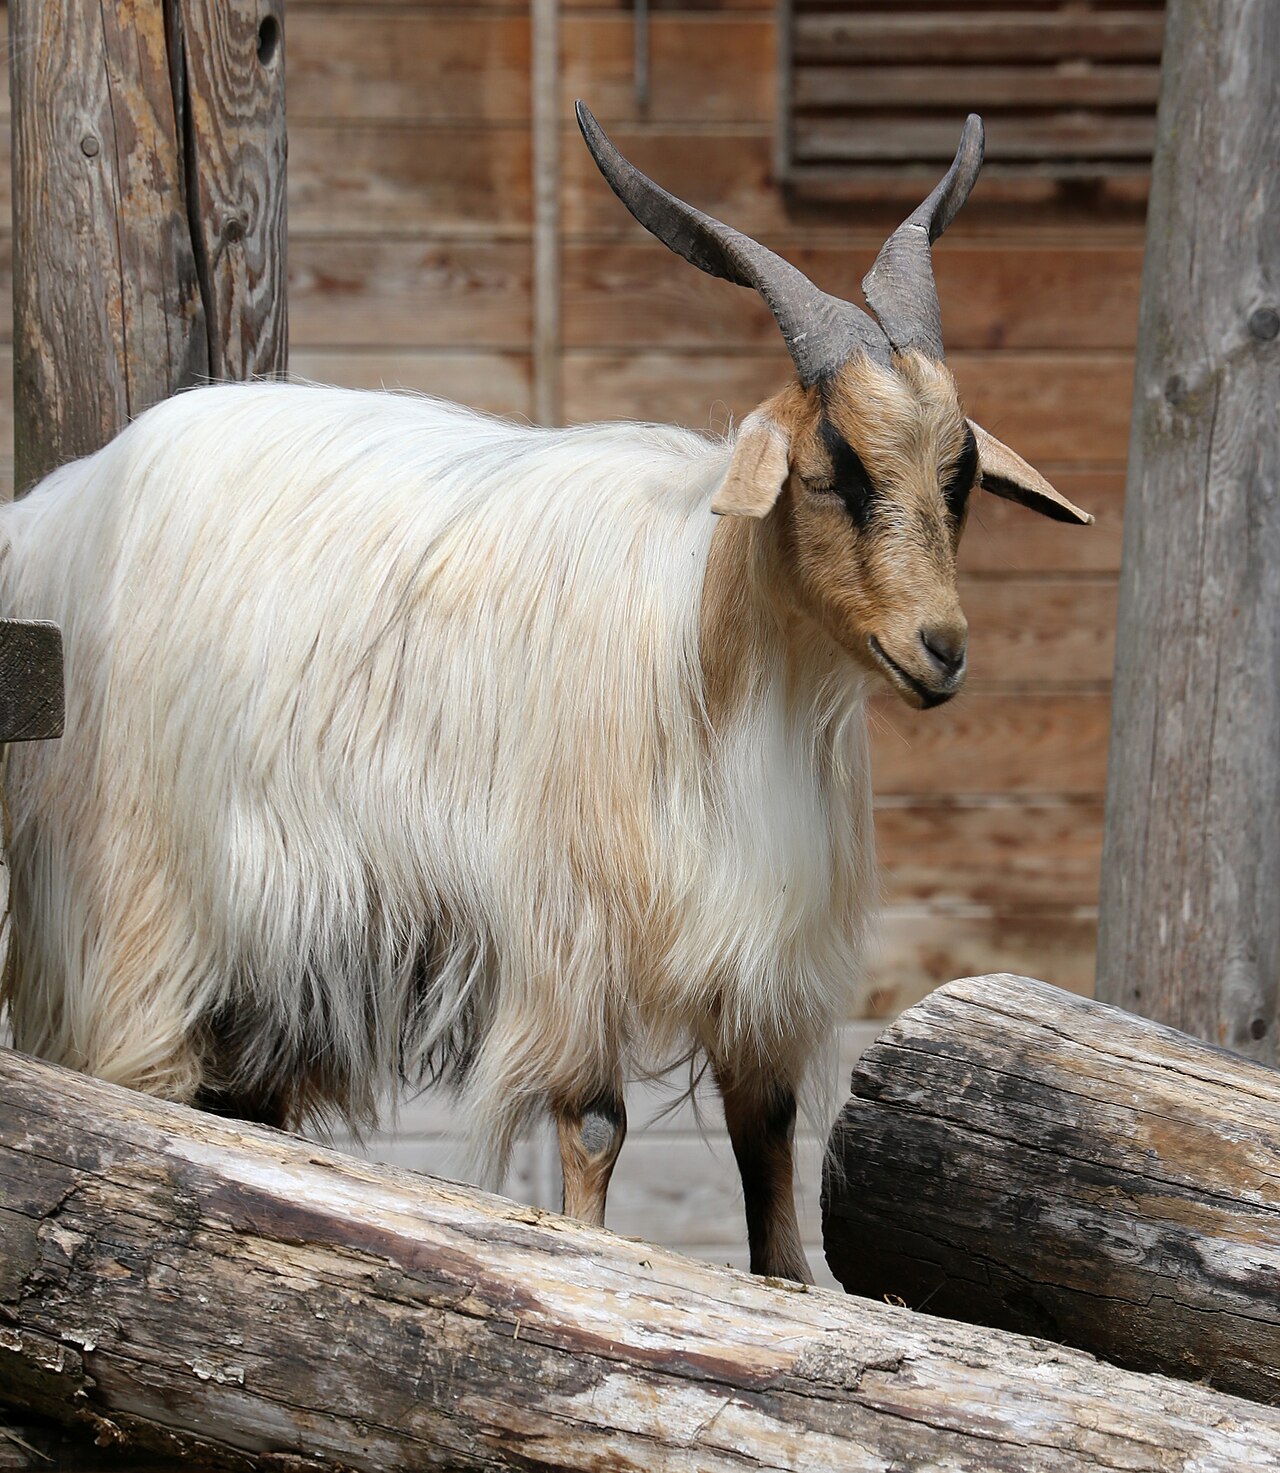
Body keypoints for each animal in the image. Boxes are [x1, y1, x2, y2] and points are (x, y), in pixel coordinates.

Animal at [0, 109, 1088, 1282]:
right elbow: (596, 1123)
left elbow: (768, 1135)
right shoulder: (573, 939)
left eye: (958, 475)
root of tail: (58, 504)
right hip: (135, 911)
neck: (707, 641)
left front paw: (793, 1289)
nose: (942, 649)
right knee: (144, 1081)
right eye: (833, 470)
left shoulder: (760, 956)